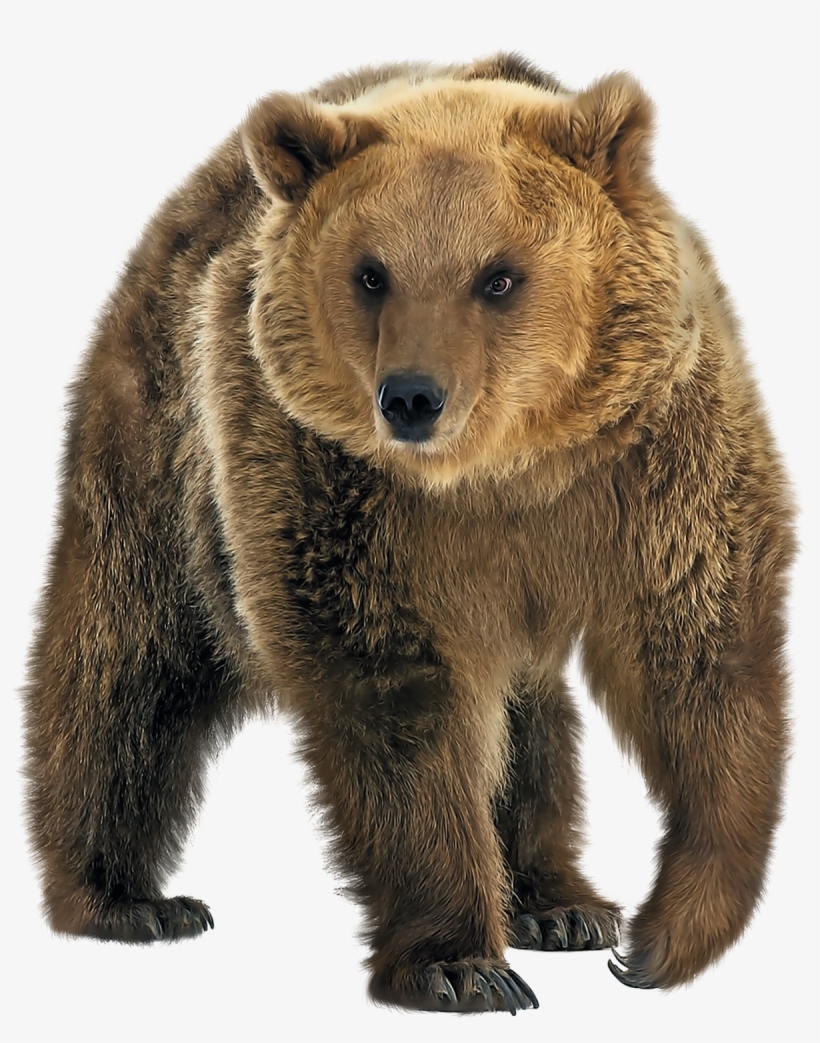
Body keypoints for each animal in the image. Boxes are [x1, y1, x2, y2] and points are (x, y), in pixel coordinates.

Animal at [23, 52, 795, 1013]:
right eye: (371, 273)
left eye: (498, 275)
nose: (412, 396)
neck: (503, 471)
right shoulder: (334, 486)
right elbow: (398, 701)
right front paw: (460, 963)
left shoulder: (653, 453)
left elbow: (697, 652)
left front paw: (662, 935)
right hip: (164, 453)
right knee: (129, 663)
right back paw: (125, 896)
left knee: (527, 713)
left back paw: (557, 903)